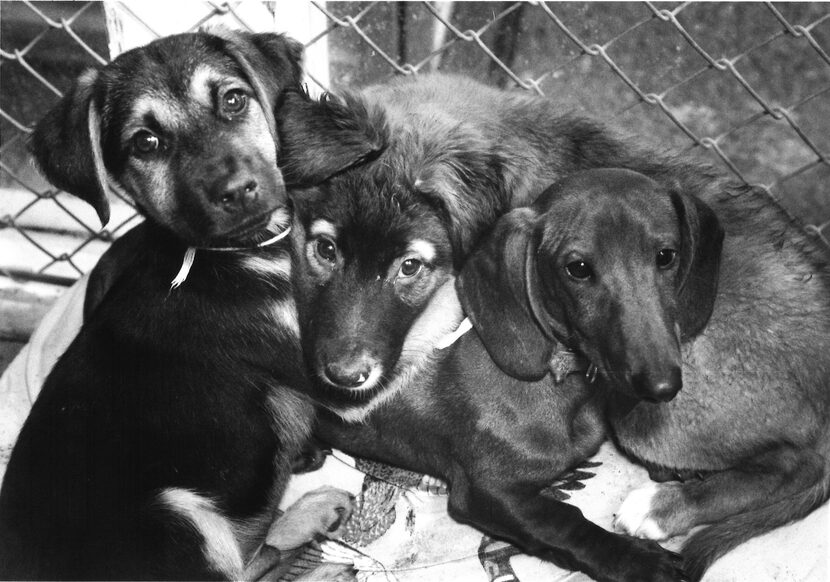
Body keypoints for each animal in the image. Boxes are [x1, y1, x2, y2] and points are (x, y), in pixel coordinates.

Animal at [0, 30, 384, 580]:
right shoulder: (334, 367)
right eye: (146, 142)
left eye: (233, 100)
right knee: (249, 566)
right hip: (175, 514)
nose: (238, 192)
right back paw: (317, 544)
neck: (233, 253)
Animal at [474, 168, 830, 580]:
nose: (664, 387)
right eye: (578, 268)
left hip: (643, 421)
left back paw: (663, 507)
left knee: (799, 465)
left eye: (666, 256)